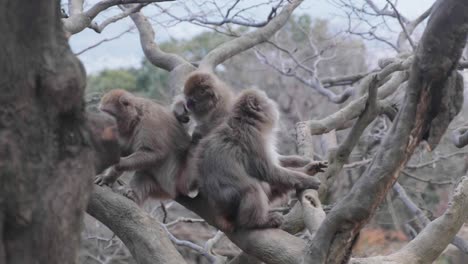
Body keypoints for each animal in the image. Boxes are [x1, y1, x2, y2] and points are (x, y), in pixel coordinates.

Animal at [192, 88, 320, 231]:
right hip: (229, 201)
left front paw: (307, 165)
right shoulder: (253, 138)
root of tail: (219, 212)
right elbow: (269, 171)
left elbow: (277, 161)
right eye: (266, 99)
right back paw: (257, 222)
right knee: (252, 188)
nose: (271, 101)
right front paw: (308, 178)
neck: (246, 121)